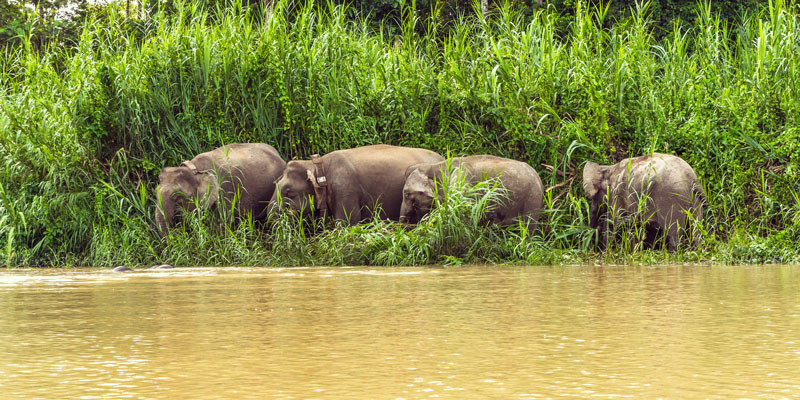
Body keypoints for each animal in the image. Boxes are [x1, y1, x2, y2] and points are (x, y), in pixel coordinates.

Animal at [580, 152, 708, 250]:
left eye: (593, 197)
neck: (608, 168)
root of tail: (691, 176)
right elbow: (633, 226)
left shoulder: (617, 193)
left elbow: (612, 223)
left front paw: (606, 252)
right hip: (695, 198)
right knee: (696, 229)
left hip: (671, 197)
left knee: (673, 232)